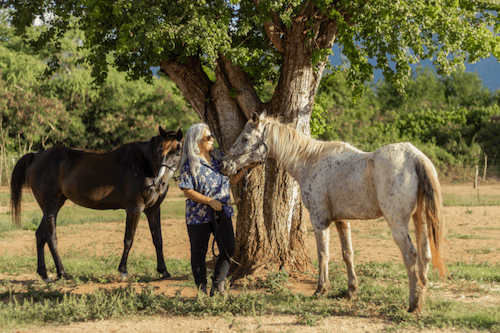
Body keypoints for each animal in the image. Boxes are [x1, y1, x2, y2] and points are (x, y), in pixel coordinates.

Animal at [10, 126, 183, 282]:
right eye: (160, 150)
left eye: (177, 152)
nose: (160, 182)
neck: (143, 164)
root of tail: (37, 156)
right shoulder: (135, 208)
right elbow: (129, 239)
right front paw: (123, 271)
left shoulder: (153, 209)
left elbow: (158, 239)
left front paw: (164, 271)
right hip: (50, 206)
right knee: (51, 237)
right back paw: (63, 273)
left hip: (53, 206)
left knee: (40, 235)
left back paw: (44, 275)